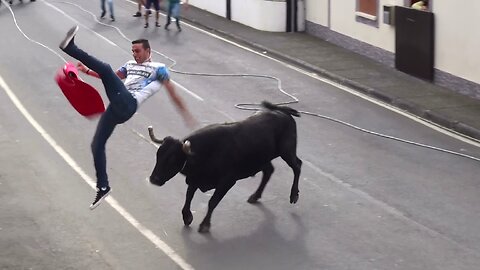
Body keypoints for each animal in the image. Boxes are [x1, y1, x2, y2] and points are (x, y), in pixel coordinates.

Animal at [148, 101, 302, 232]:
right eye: (158, 155)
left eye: (173, 159)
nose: (153, 179)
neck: (207, 151)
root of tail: (280, 110)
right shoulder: (195, 179)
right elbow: (189, 196)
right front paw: (187, 217)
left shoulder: (227, 182)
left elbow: (212, 202)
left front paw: (205, 225)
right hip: (263, 159)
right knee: (269, 171)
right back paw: (255, 196)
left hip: (287, 151)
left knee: (297, 166)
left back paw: (294, 195)